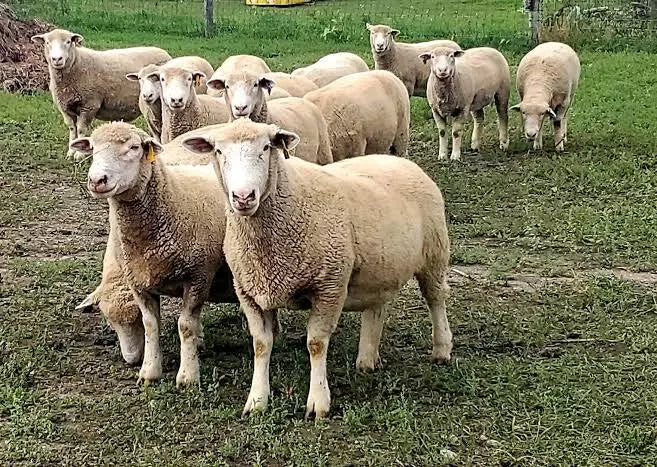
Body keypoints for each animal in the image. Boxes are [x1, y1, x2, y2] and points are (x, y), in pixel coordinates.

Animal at [31, 28, 171, 159]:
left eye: (68, 42)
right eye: (47, 42)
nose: (57, 59)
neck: (76, 63)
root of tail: (163, 52)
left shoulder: (89, 105)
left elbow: (81, 129)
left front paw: (79, 155)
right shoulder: (64, 106)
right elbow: (72, 128)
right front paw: (71, 151)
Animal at [70, 121, 238, 386]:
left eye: (134, 147)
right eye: (93, 149)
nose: (97, 180)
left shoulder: (198, 276)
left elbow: (185, 326)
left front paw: (188, 377)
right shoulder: (138, 281)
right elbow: (151, 325)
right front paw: (149, 372)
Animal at [182, 119, 452, 419]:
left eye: (266, 147)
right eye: (218, 151)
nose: (243, 197)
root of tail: (399, 160)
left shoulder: (329, 286)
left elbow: (316, 344)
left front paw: (318, 402)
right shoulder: (249, 291)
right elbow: (261, 345)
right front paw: (257, 400)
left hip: (434, 253)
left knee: (436, 299)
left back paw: (442, 349)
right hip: (380, 267)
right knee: (376, 307)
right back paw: (367, 359)